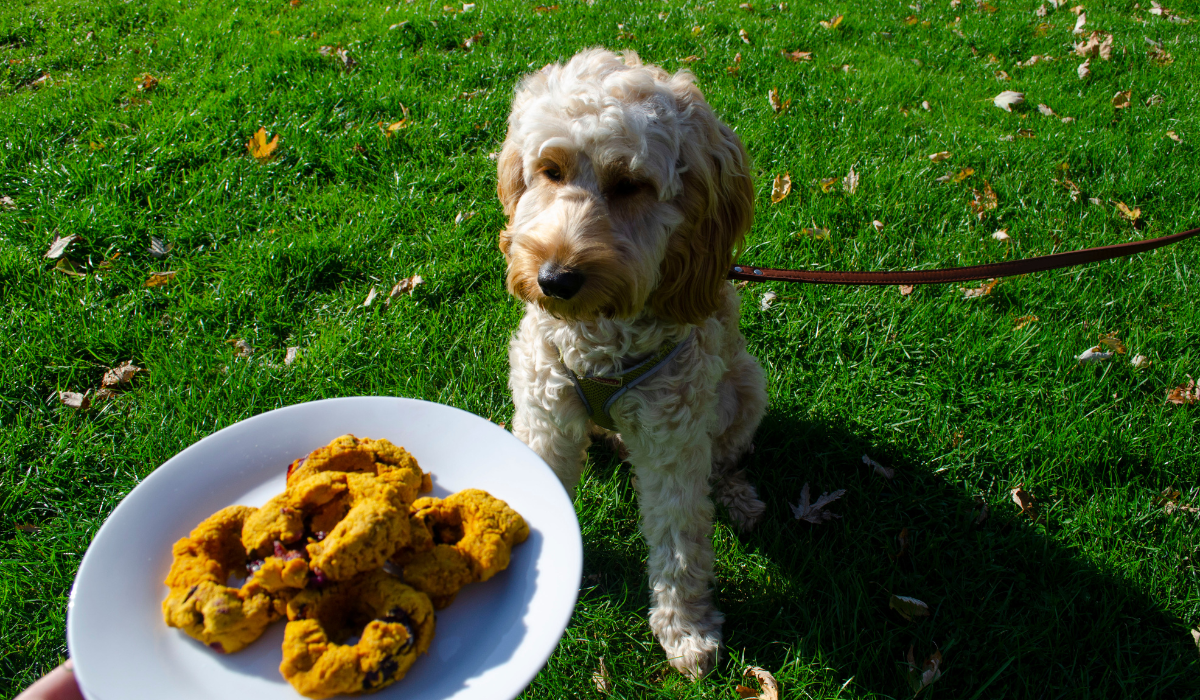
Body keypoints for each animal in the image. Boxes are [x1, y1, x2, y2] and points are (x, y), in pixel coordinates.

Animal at [496, 49, 768, 677]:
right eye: (550, 170)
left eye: (630, 184)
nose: (554, 279)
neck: (598, 333)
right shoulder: (546, 413)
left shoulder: (673, 441)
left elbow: (681, 540)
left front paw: (686, 629)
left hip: (746, 386)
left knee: (726, 457)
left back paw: (738, 497)